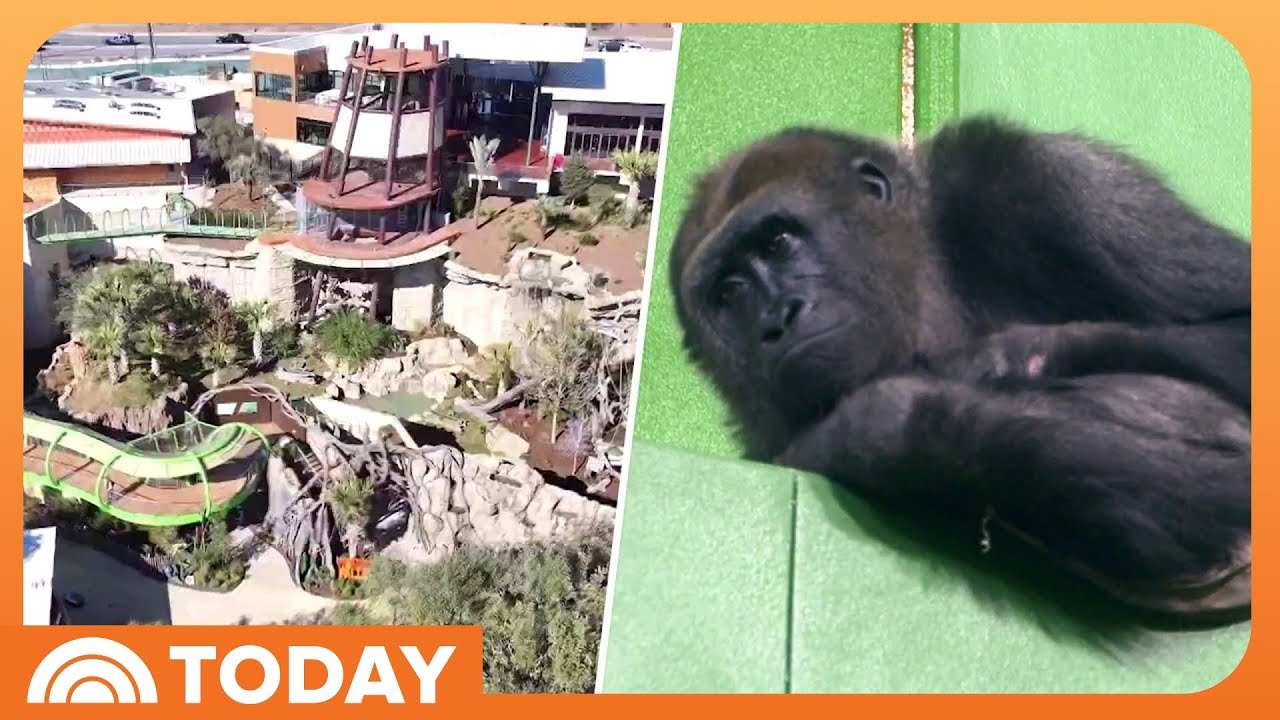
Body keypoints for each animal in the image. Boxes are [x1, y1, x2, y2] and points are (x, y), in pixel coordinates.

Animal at [669, 116, 1251, 621]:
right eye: (730, 291)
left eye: (780, 241)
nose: (778, 320)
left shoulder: (1039, 177)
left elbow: (1240, 329)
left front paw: (927, 394)